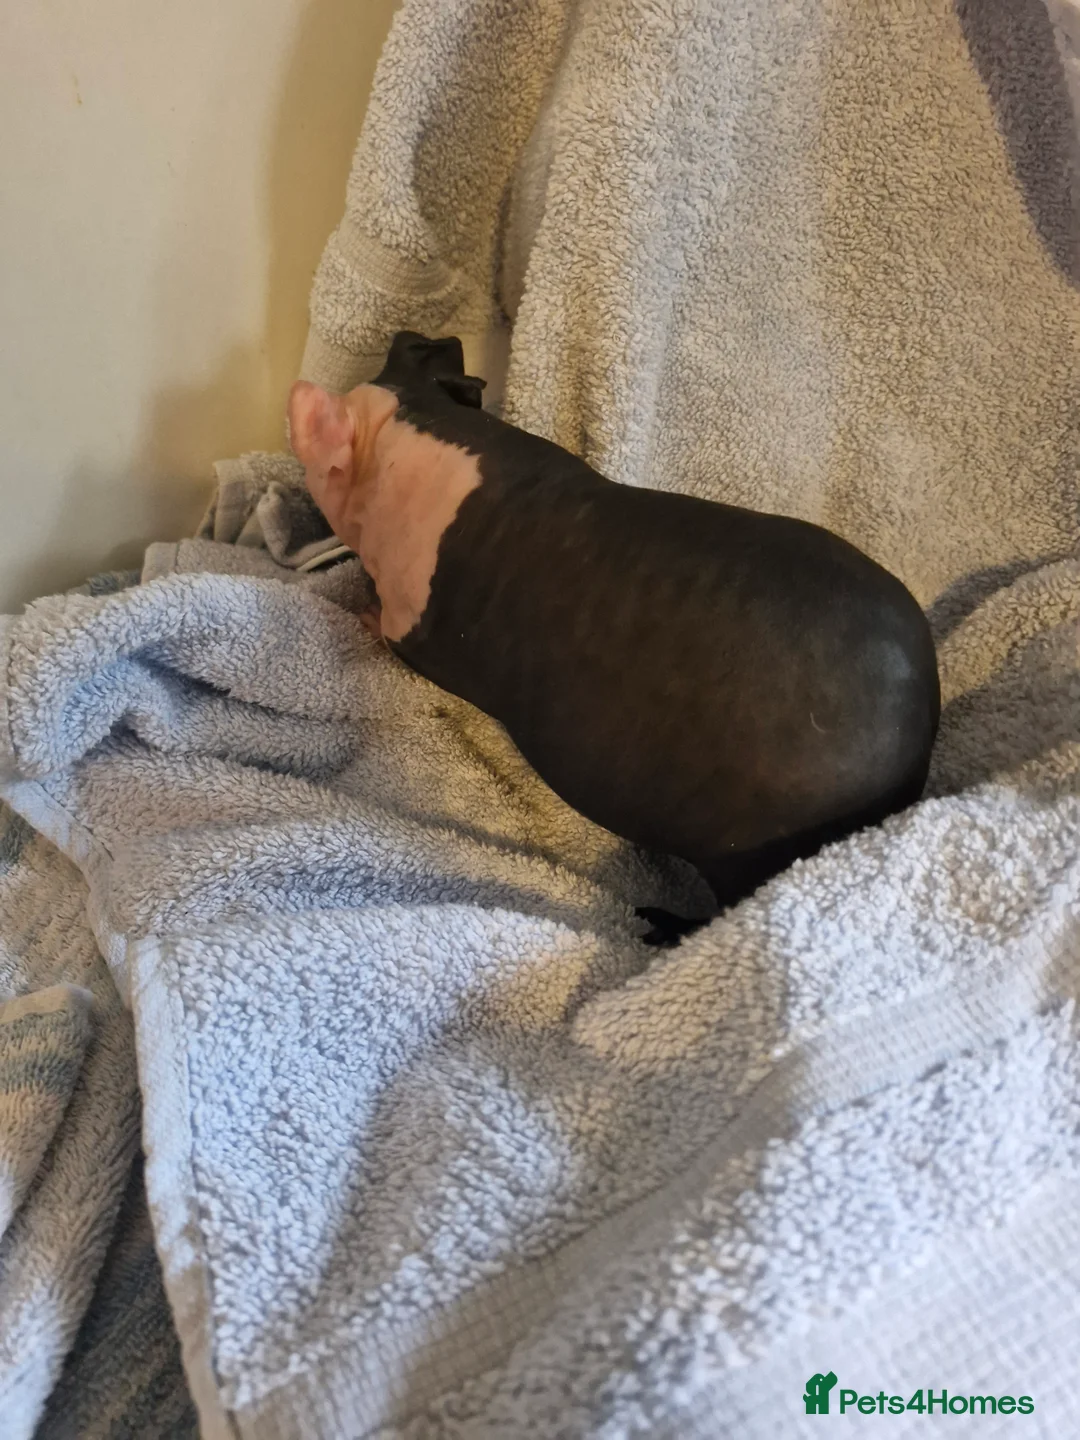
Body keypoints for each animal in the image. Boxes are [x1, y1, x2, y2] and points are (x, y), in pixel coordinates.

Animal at [289, 331, 940, 931]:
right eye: (408, 355)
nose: (419, 335)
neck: (414, 435)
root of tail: (916, 729)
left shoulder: (417, 629)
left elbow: (390, 629)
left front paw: (363, 611)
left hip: (746, 852)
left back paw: (657, 922)